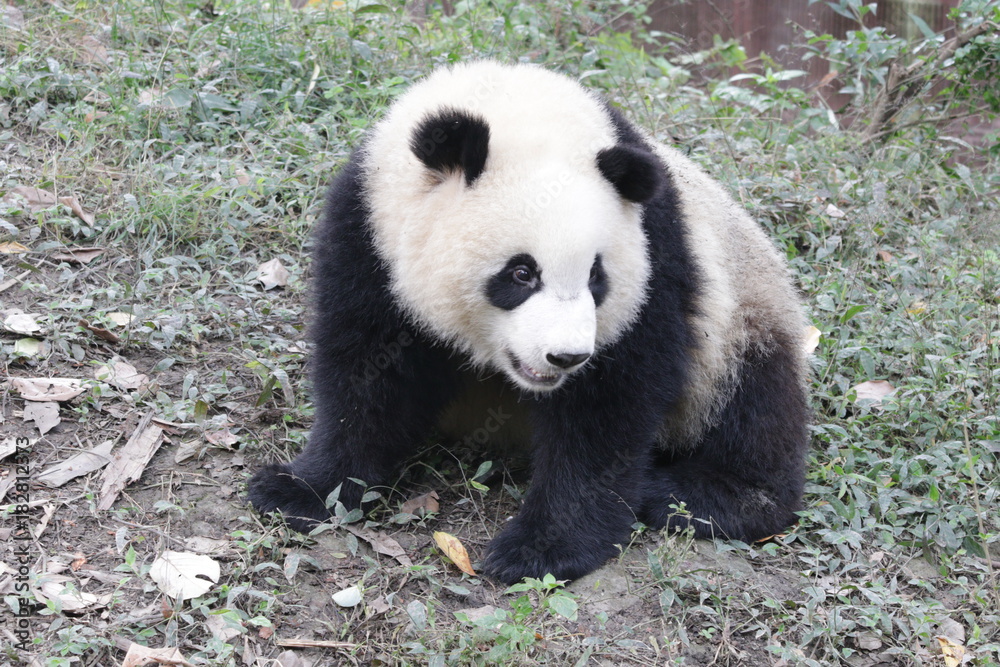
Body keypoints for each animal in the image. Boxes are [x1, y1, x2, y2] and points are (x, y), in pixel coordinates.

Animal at [248, 61, 809, 585]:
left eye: (596, 276)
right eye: (521, 273)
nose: (566, 356)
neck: (515, 107)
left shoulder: (659, 251)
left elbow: (610, 405)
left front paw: (542, 548)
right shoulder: (368, 230)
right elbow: (367, 372)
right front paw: (300, 490)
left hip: (741, 312)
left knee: (753, 406)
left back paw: (694, 495)